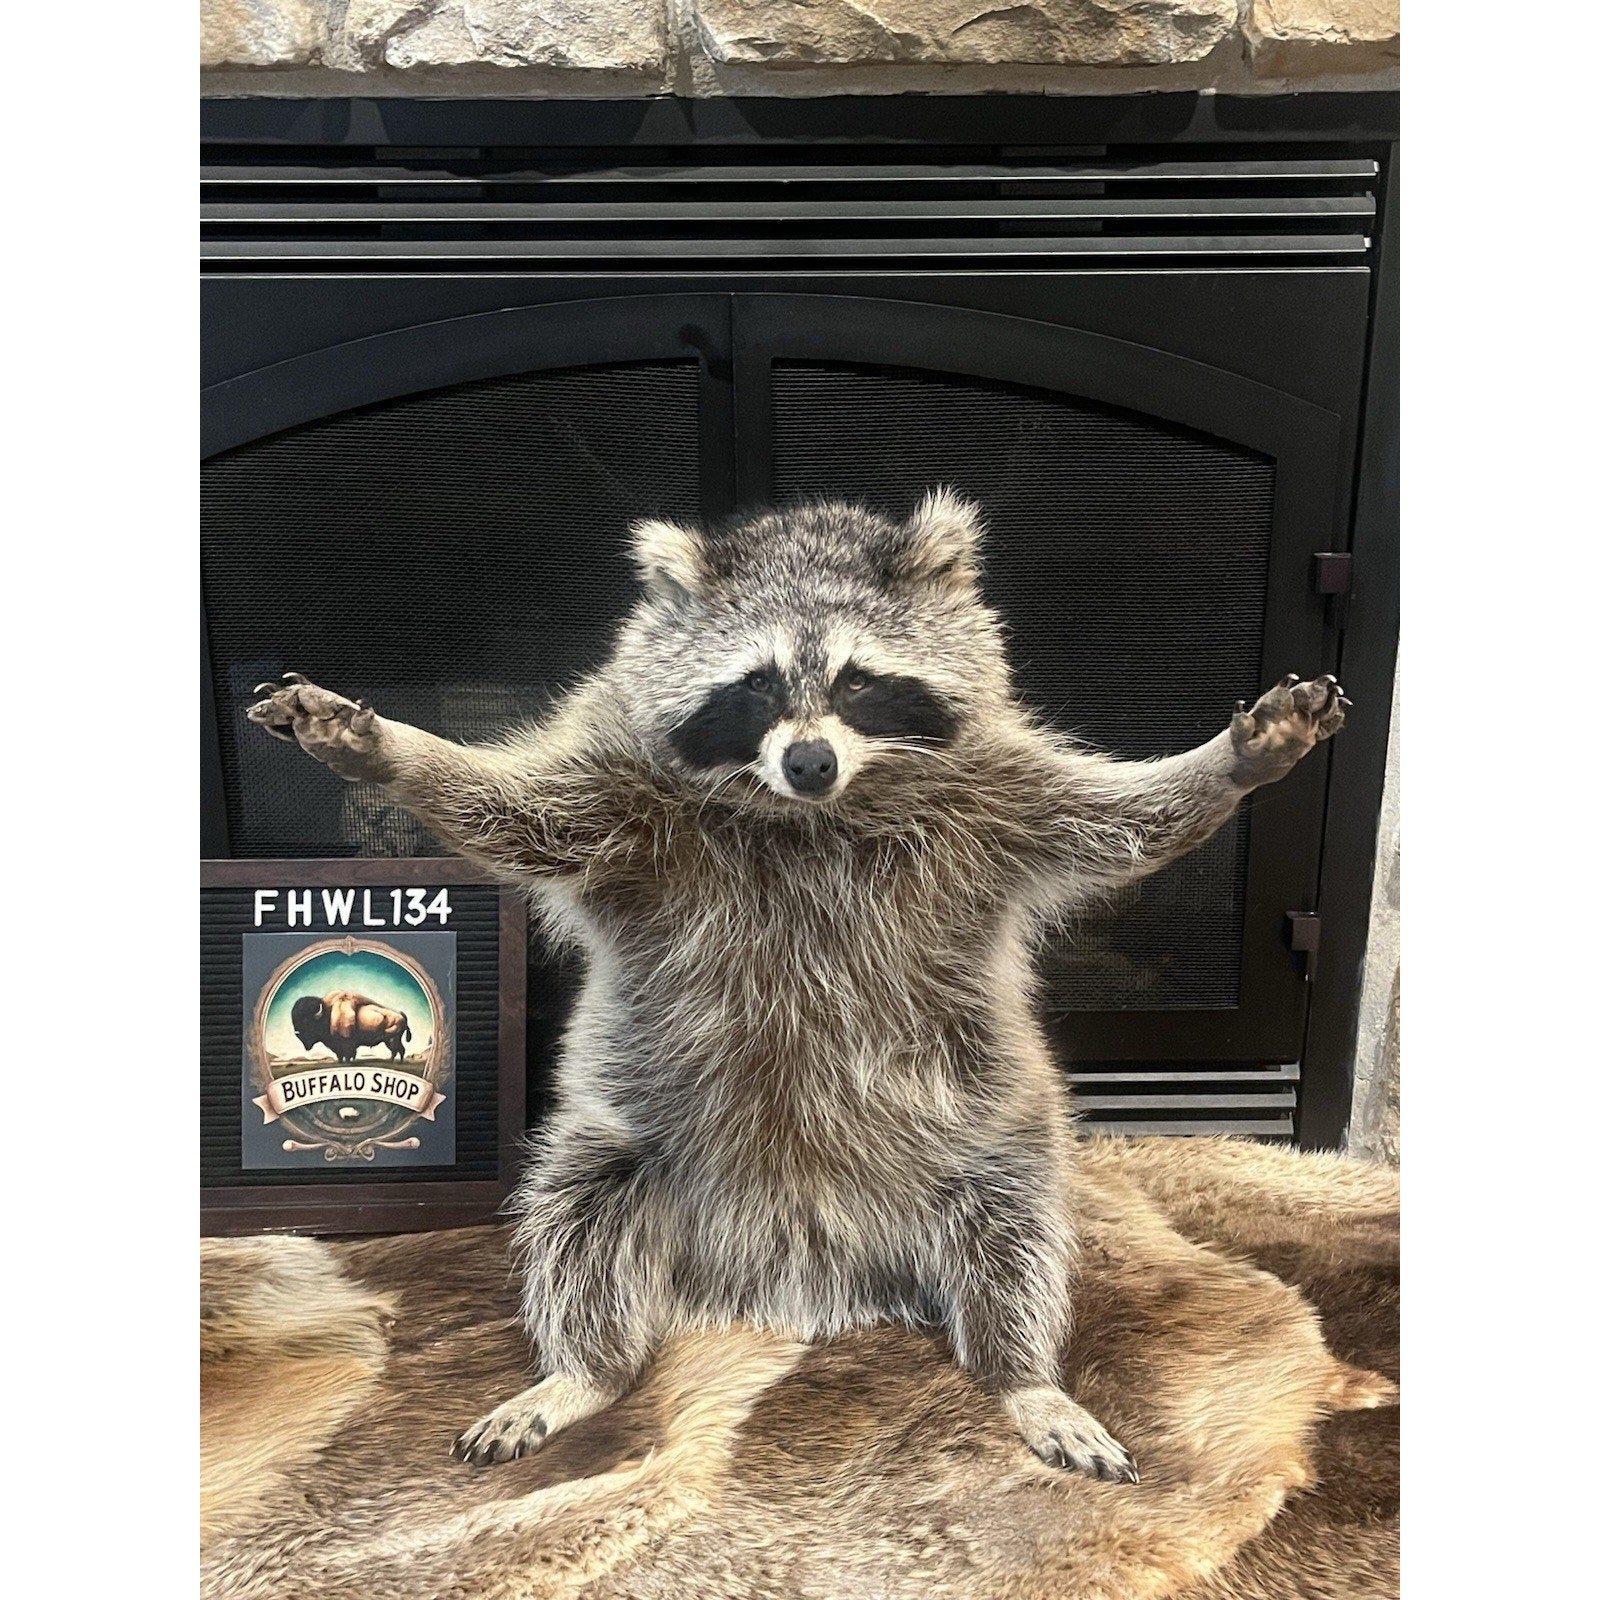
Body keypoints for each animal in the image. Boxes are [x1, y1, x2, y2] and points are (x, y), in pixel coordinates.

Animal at [247, 491, 1347, 1483]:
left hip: (989, 1130)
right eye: (759, 686)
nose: (810, 759)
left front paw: (1231, 764)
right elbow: (508, 809)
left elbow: (1126, 822)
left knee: (1017, 1236)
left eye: (860, 683)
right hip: (627, 1138)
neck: (813, 814)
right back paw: (585, 1372)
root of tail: (800, 1270)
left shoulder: (1002, 798)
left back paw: (1021, 1373)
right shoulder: (621, 800)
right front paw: (393, 750)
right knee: (575, 1221)